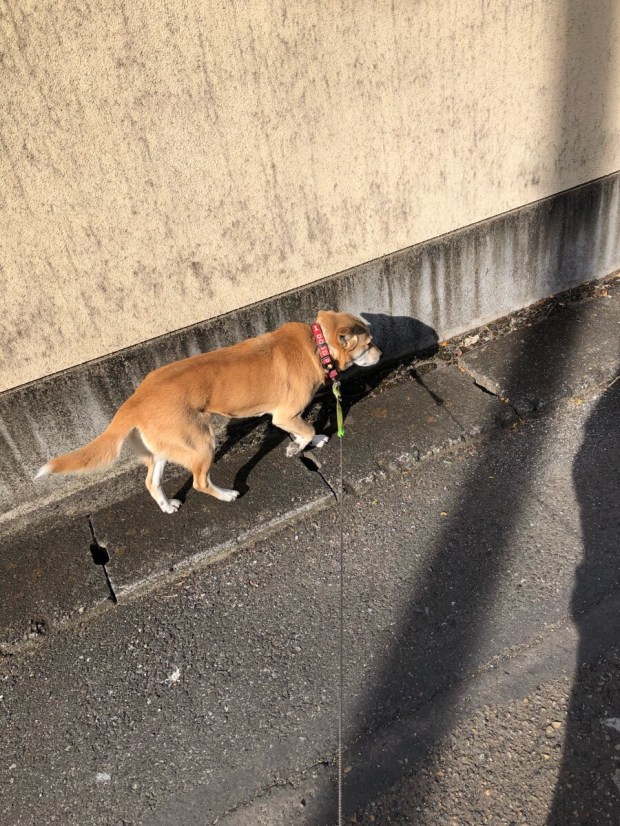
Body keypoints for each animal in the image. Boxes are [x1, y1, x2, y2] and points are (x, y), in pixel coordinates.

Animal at [36, 311, 381, 513]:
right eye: (368, 344)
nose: (381, 353)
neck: (316, 343)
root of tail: (134, 401)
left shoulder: (283, 417)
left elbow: (303, 430)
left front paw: (311, 440)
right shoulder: (283, 414)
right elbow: (304, 429)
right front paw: (302, 445)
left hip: (165, 447)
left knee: (151, 481)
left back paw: (167, 505)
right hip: (201, 442)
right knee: (200, 482)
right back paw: (227, 495)